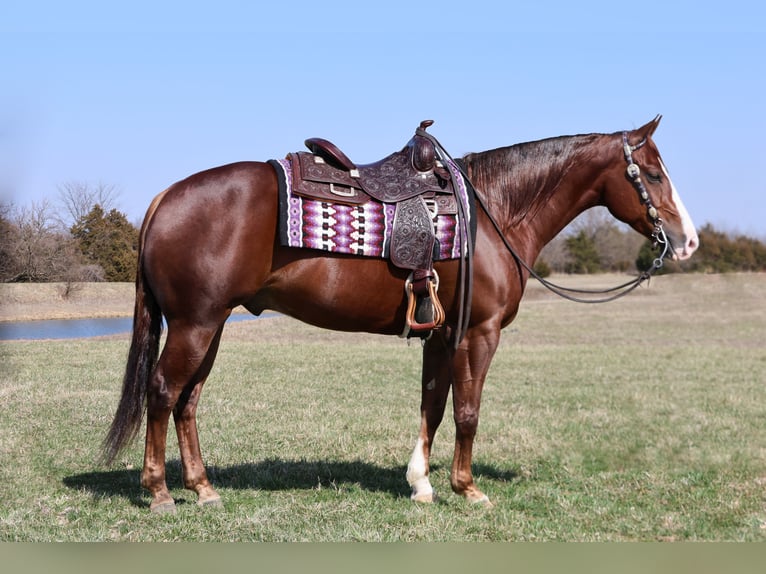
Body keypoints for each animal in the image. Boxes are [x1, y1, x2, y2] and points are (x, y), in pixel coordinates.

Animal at [102, 116, 704, 512]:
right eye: (651, 175)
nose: (688, 241)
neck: (494, 211)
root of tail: (164, 197)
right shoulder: (477, 333)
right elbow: (467, 412)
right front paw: (467, 488)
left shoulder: (441, 335)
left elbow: (432, 405)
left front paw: (422, 484)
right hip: (194, 325)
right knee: (163, 391)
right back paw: (159, 492)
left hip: (211, 325)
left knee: (188, 400)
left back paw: (203, 488)